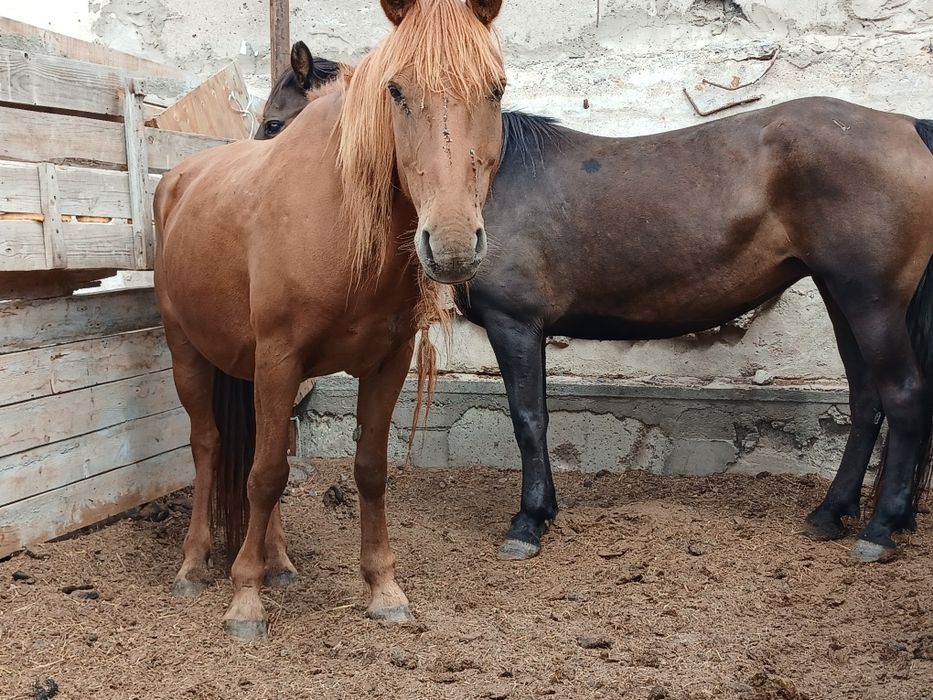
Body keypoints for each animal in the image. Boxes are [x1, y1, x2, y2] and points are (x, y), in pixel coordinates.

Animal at [153, 0, 506, 640]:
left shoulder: (386, 365)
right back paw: (195, 565)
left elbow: (367, 468)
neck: (341, 220)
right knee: (209, 446)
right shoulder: (279, 359)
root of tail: (178, 180)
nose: (451, 245)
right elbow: (265, 474)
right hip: (187, 352)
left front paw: (384, 589)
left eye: (496, 89)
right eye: (396, 90)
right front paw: (245, 600)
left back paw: (279, 561)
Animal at [264, 50, 933, 565]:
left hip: (869, 299)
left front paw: (528, 524)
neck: (484, 182)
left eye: (273, 124)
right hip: (840, 297)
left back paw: (878, 531)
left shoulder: (515, 325)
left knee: (902, 397)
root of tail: (906, 125)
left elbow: (528, 419)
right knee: (866, 401)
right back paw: (831, 514)